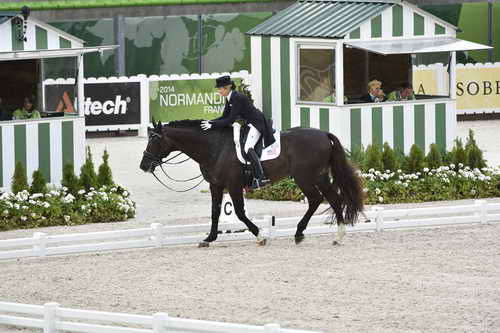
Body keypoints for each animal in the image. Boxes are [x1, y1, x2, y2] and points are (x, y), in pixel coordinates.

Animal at [141, 119, 364, 246]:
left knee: (317, 199)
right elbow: (215, 212)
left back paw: (301, 232)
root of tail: (324, 134)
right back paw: (337, 235)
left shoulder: (233, 185)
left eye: (154, 140)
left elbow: (240, 212)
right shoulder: (216, 185)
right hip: (318, 176)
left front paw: (259, 235)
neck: (214, 147)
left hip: (305, 177)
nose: (144, 166)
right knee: (332, 198)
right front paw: (209, 238)